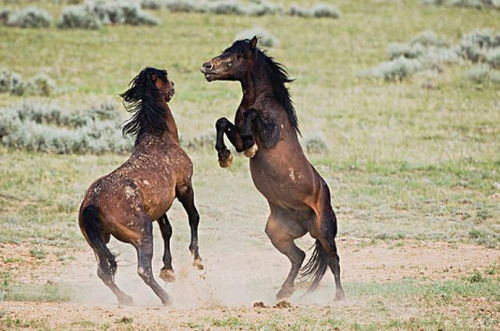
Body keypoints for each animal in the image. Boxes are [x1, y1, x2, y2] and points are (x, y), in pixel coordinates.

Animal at [78, 67, 203, 306]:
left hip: (98, 242)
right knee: (143, 270)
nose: (173, 85)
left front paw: (168, 270)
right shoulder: (184, 187)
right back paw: (167, 299)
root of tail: (91, 204)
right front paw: (197, 260)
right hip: (143, 235)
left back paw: (127, 298)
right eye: (164, 77)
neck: (160, 139)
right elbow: (194, 217)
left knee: (103, 272)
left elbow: (167, 230)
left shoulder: (160, 206)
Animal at [199, 37, 344, 302]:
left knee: (333, 260)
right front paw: (225, 157)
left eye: (237, 56)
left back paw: (339, 297)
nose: (207, 66)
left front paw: (247, 147)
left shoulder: (269, 137)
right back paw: (283, 292)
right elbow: (222, 122)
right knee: (299, 256)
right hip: (277, 232)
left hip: (324, 232)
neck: (262, 100)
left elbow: (252, 118)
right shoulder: (236, 135)